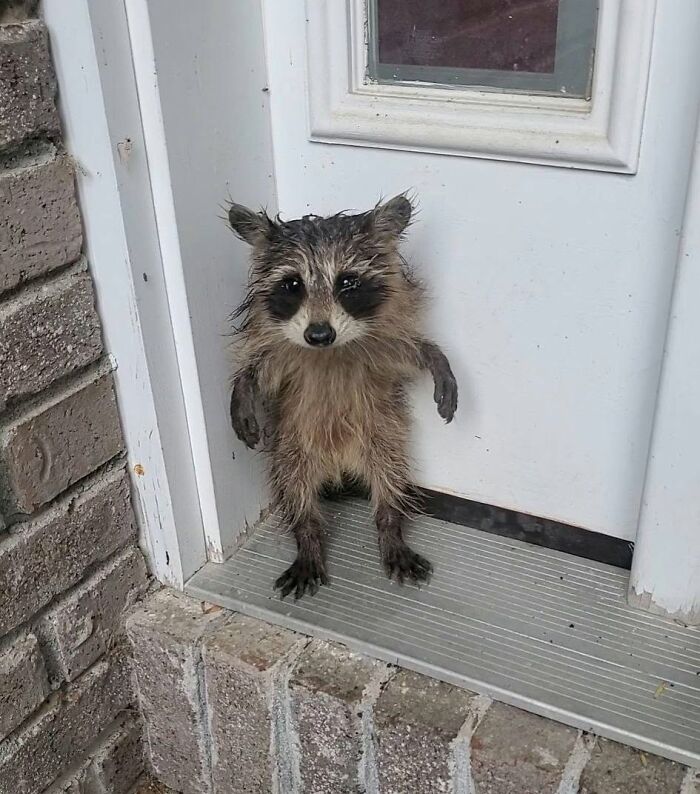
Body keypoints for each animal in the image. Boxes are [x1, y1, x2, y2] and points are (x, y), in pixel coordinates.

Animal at [228, 195, 458, 599]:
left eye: (347, 281)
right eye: (292, 284)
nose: (319, 335)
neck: (330, 353)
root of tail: (339, 467)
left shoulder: (381, 347)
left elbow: (410, 351)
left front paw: (435, 358)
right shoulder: (282, 354)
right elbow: (259, 369)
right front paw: (242, 388)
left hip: (381, 433)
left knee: (390, 476)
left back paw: (390, 524)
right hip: (292, 444)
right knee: (294, 486)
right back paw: (307, 535)